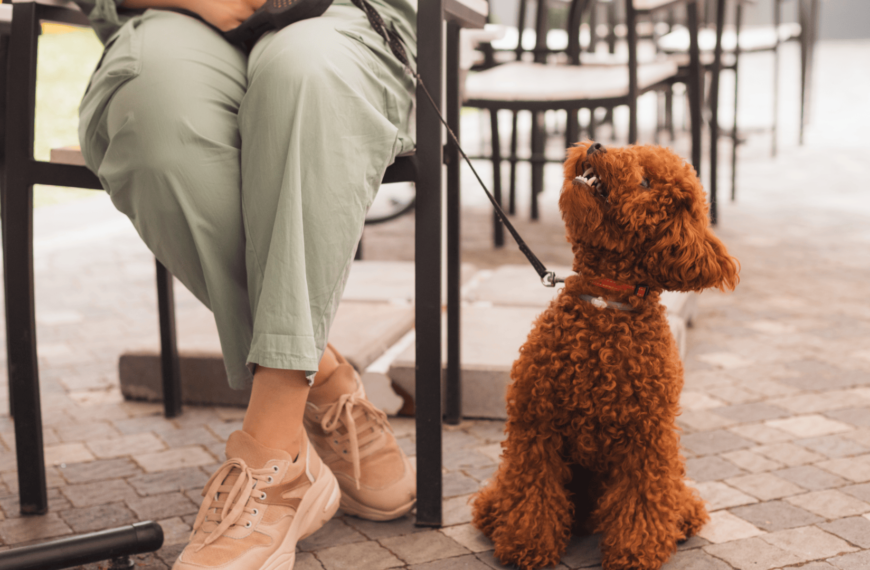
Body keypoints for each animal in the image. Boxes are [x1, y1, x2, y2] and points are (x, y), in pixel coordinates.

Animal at [474, 141, 740, 568]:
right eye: (630, 149)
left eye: (646, 182)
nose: (596, 144)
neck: (604, 303)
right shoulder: (536, 427)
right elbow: (533, 493)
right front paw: (526, 546)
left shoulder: (647, 439)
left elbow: (641, 500)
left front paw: (635, 552)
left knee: (672, 496)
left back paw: (682, 517)